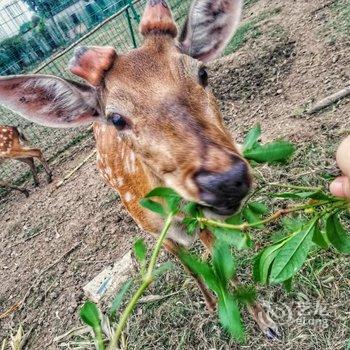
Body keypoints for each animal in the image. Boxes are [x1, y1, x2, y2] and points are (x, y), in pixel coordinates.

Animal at [0, 0, 278, 340]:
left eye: (202, 73)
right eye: (117, 118)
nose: (225, 180)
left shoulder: (203, 220)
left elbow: (226, 267)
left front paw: (266, 322)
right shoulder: (156, 231)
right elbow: (189, 267)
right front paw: (212, 305)